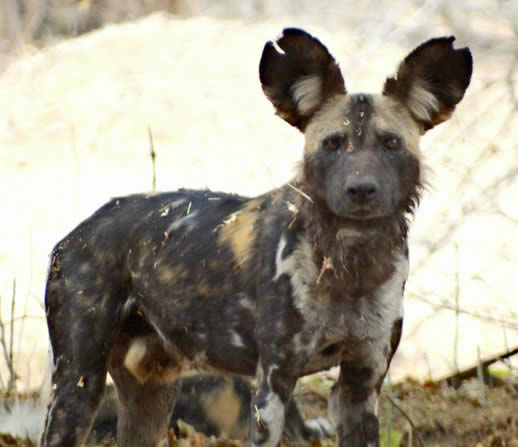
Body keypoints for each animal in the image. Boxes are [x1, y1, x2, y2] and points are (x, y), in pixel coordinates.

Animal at [42, 28, 474, 447]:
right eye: (333, 144)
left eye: (391, 143)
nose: (361, 190)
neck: (350, 264)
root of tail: (78, 232)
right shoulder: (273, 384)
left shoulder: (360, 385)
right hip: (78, 387)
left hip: (152, 394)